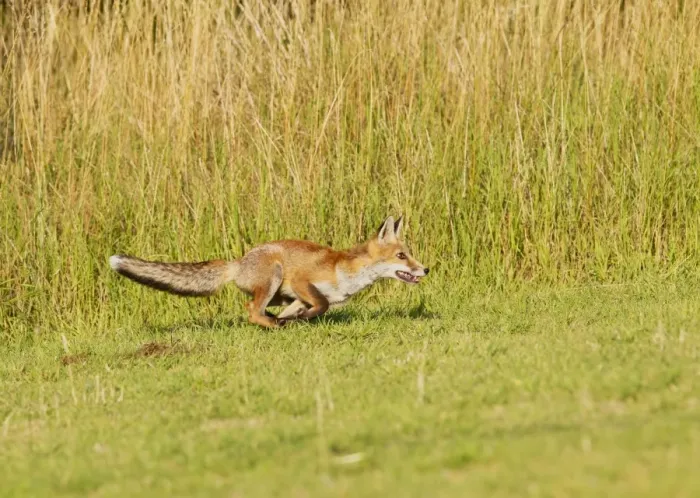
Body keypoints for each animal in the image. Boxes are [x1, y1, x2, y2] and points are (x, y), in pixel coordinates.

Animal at [109, 215, 429, 328]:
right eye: (402, 256)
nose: (425, 268)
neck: (348, 272)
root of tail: (238, 262)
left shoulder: (298, 296)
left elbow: (308, 308)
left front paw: (297, 320)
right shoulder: (303, 281)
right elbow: (321, 305)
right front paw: (301, 320)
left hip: (278, 294)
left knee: (258, 309)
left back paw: (277, 322)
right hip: (274, 275)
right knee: (251, 309)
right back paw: (273, 324)